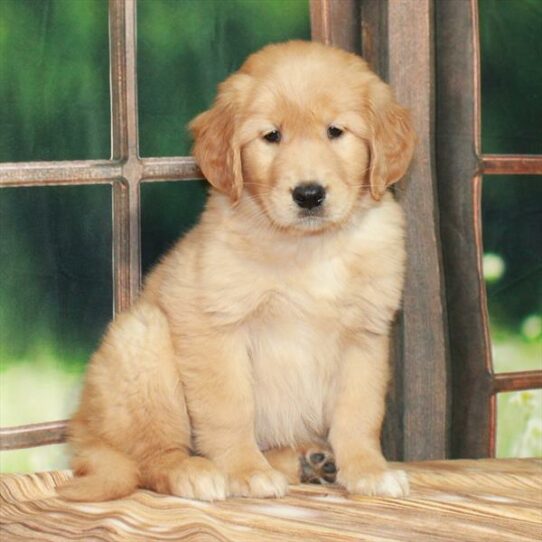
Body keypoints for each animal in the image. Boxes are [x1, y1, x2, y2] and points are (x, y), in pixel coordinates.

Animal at [58, 40, 416, 504]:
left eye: (335, 132)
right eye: (271, 136)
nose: (309, 195)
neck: (307, 247)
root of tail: (83, 434)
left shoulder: (366, 335)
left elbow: (359, 413)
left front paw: (368, 470)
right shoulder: (216, 327)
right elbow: (230, 409)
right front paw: (245, 471)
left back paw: (307, 460)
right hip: (144, 340)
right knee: (150, 460)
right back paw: (195, 472)